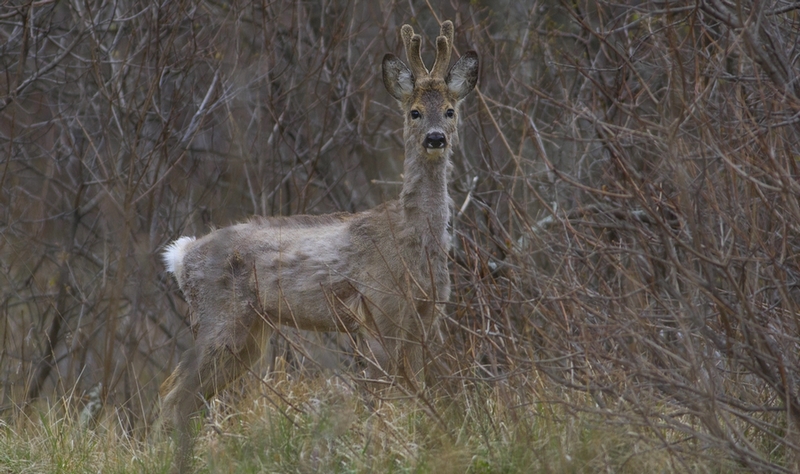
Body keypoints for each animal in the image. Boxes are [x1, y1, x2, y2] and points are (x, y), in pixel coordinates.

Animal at [159, 19, 478, 470]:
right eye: (414, 111)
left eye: (451, 110)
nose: (435, 138)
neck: (413, 240)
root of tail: (181, 255)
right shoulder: (379, 309)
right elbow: (386, 397)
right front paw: (384, 449)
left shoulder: (425, 316)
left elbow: (417, 395)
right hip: (221, 318)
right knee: (173, 397)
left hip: (249, 334)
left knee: (184, 397)